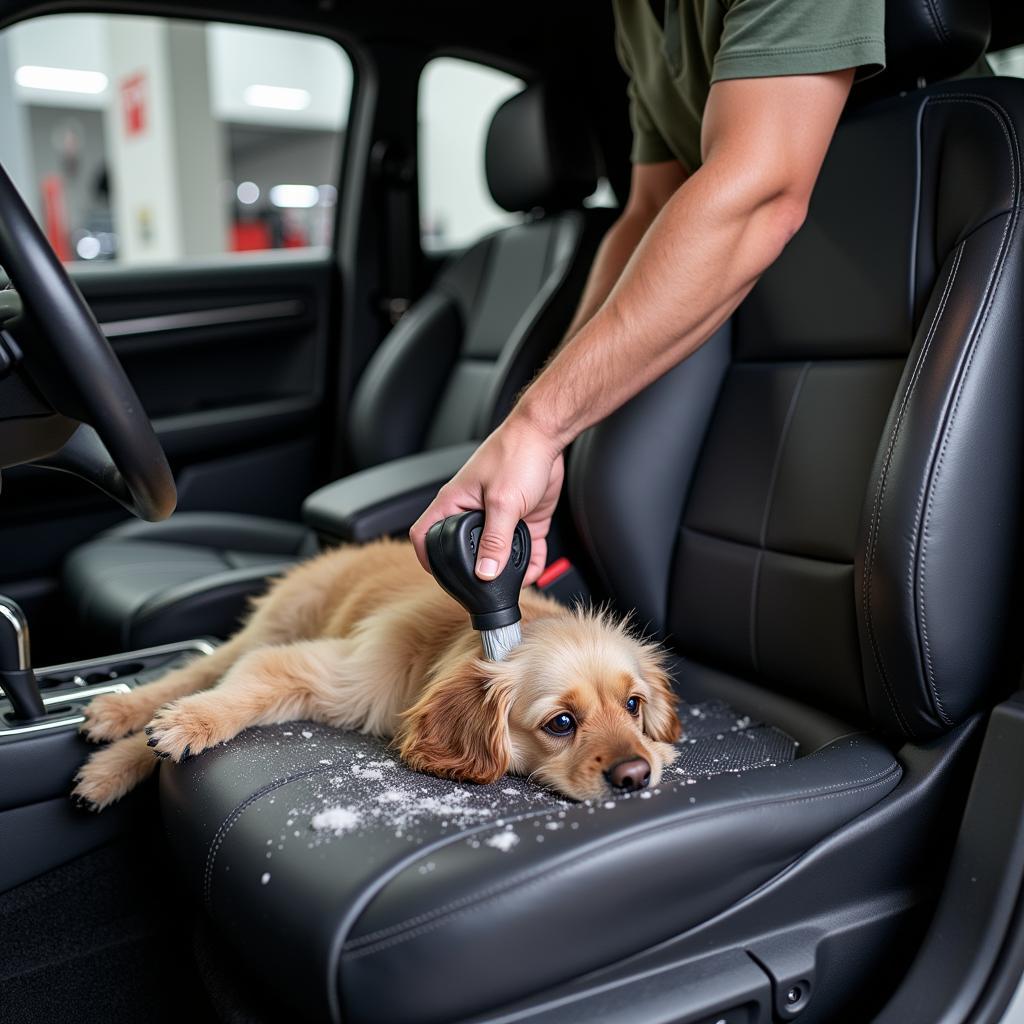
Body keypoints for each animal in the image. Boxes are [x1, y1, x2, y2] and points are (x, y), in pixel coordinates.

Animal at [72, 540, 679, 811]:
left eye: (633, 705)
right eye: (560, 723)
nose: (635, 775)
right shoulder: (315, 669)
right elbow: (234, 698)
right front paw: (186, 726)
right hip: (274, 625)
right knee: (201, 670)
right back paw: (120, 721)